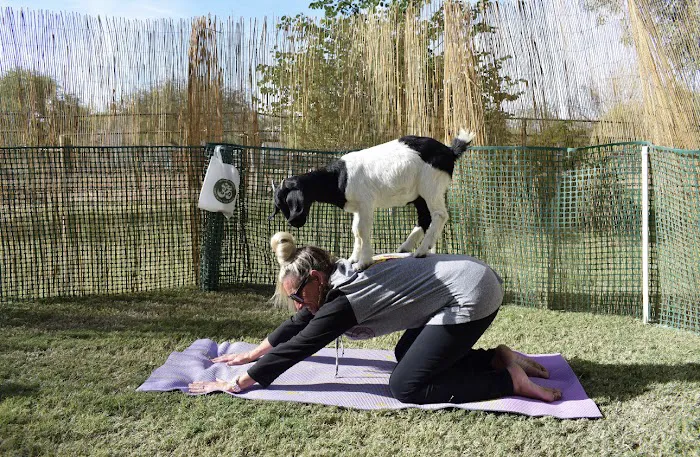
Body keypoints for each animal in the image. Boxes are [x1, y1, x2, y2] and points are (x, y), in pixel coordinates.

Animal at [269, 129, 475, 269]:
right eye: (278, 205)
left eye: (288, 201)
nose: (294, 222)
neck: (340, 177)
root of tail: (450, 151)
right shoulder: (358, 207)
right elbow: (355, 230)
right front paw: (352, 258)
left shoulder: (366, 203)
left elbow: (362, 230)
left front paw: (363, 262)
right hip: (418, 195)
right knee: (424, 218)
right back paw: (406, 247)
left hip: (430, 185)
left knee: (439, 215)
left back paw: (422, 250)